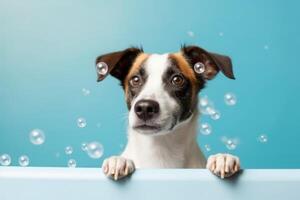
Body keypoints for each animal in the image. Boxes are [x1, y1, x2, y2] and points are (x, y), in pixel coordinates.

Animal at [95, 45, 240, 180]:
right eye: (135, 79)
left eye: (177, 79)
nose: (144, 108)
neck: (160, 147)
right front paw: (118, 161)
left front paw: (222, 158)